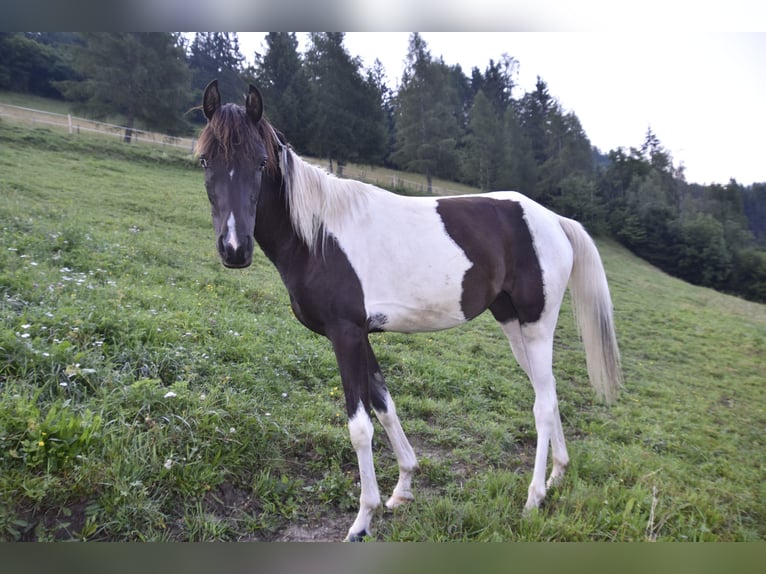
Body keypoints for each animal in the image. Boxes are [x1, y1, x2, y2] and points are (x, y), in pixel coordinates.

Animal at [194, 81, 624, 544]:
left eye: (260, 161)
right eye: (205, 160)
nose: (234, 249)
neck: (318, 236)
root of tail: (555, 220)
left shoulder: (345, 334)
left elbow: (360, 426)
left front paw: (362, 519)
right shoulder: (362, 335)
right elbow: (385, 405)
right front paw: (402, 487)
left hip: (537, 323)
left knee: (542, 405)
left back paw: (534, 498)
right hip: (514, 325)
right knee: (549, 391)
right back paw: (557, 475)